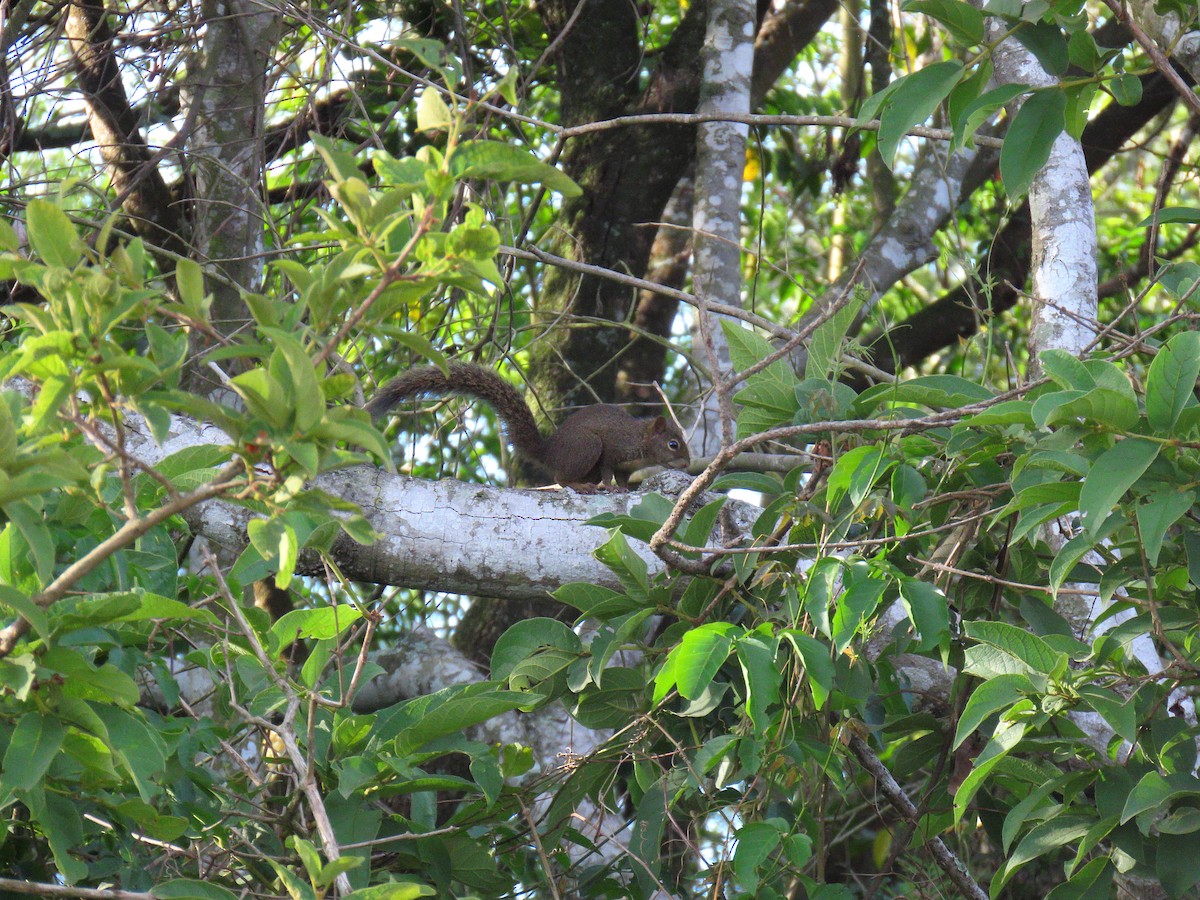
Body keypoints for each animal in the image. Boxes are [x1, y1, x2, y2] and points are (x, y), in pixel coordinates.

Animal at [367, 362, 690, 488]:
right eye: (673, 444)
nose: (688, 464)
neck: (640, 440)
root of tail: (549, 451)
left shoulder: (627, 467)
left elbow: (622, 478)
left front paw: (622, 490)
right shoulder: (613, 448)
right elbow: (610, 471)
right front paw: (611, 488)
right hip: (587, 446)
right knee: (561, 478)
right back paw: (580, 485)